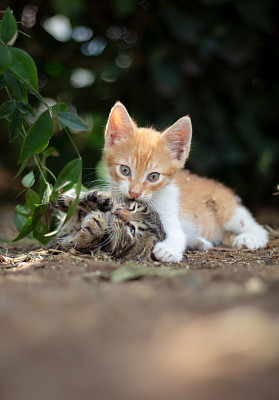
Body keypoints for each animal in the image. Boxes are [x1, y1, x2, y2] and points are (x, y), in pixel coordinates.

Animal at [103, 101, 270, 262]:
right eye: (125, 170)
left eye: (153, 177)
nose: (134, 193)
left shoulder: (169, 213)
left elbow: (178, 235)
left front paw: (168, 250)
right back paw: (200, 242)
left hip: (228, 212)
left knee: (257, 227)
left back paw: (250, 238)